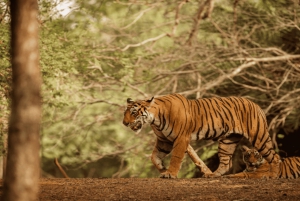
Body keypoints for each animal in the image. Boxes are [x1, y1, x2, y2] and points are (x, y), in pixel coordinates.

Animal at [122, 93, 282, 178]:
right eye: (125, 112)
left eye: (133, 112)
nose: (124, 123)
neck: (154, 119)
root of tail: (255, 104)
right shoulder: (164, 141)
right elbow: (154, 157)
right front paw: (162, 170)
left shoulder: (181, 139)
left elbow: (176, 157)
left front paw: (170, 173)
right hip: (228, 141)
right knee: (226, 162)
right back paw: (212, 175)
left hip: (259, 136)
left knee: (274, 157)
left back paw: (273, 175)